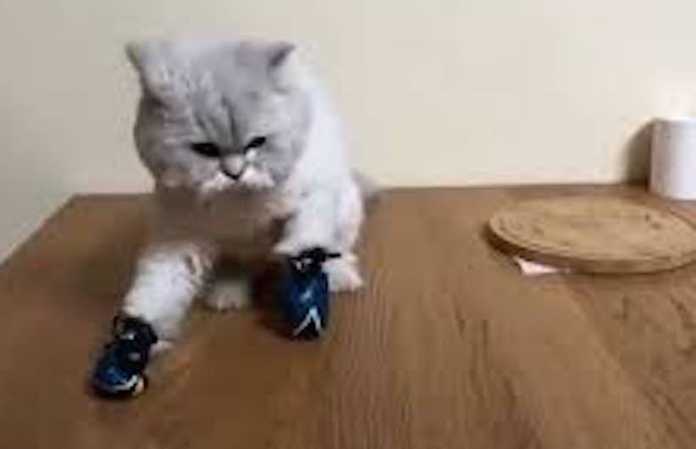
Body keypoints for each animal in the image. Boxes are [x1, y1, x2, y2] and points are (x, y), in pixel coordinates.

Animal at [119, 38, 371, 346]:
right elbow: (158, 286)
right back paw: (227, 293)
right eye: (206, 150)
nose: (235, 173)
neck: (239, 201)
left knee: (339, 250)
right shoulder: (177, 236)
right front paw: (137, 330)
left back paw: (340, 275)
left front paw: (300, 256)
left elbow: (308, 230)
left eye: (257, 143)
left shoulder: (316, 189)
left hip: (348, 209)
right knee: (235, 268)